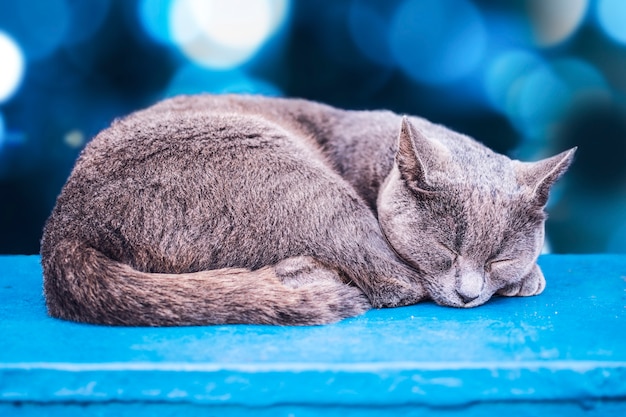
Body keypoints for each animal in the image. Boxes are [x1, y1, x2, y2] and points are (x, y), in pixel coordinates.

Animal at [40, 94, 576, 324]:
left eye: (500, 258)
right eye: (444, 249)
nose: (468, 294)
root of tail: (64, 228)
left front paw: (525, 277)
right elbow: (408, 279)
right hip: (301, 180)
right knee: (390, 282)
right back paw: (305, 275)